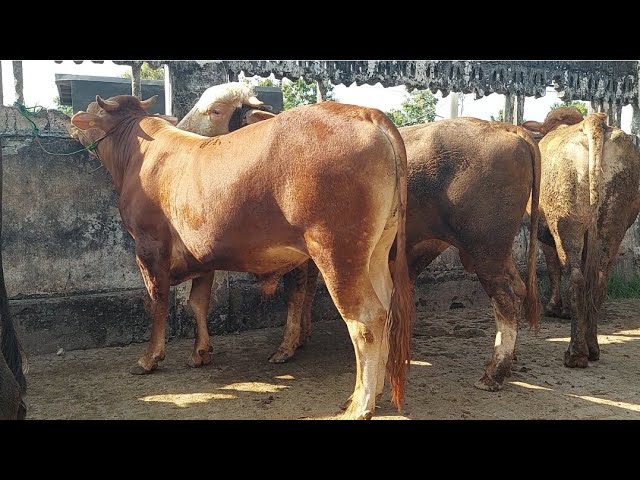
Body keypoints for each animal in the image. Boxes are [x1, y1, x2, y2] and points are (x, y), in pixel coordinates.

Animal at [67, 93, 412, 416]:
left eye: (92, 113)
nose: (71, 124)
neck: (137, 154)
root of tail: (366, 114)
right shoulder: (202, 254)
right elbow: (198, 303)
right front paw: (200, 353)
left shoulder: (149, 246)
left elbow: (158, 303)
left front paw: (148, 358)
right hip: (376, 249)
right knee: (386, 306)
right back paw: (374, 392)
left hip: (337, 251)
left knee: (366, 319)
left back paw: (360, 404)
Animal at [524, 107, 640, 366]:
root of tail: (594, 123)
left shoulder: (546, 234)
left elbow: (553, 268)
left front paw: (555, 308)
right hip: (613, 223)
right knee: (598, 280)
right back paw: (592, 347)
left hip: (567, 223)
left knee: (575, 277)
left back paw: (576, 353)